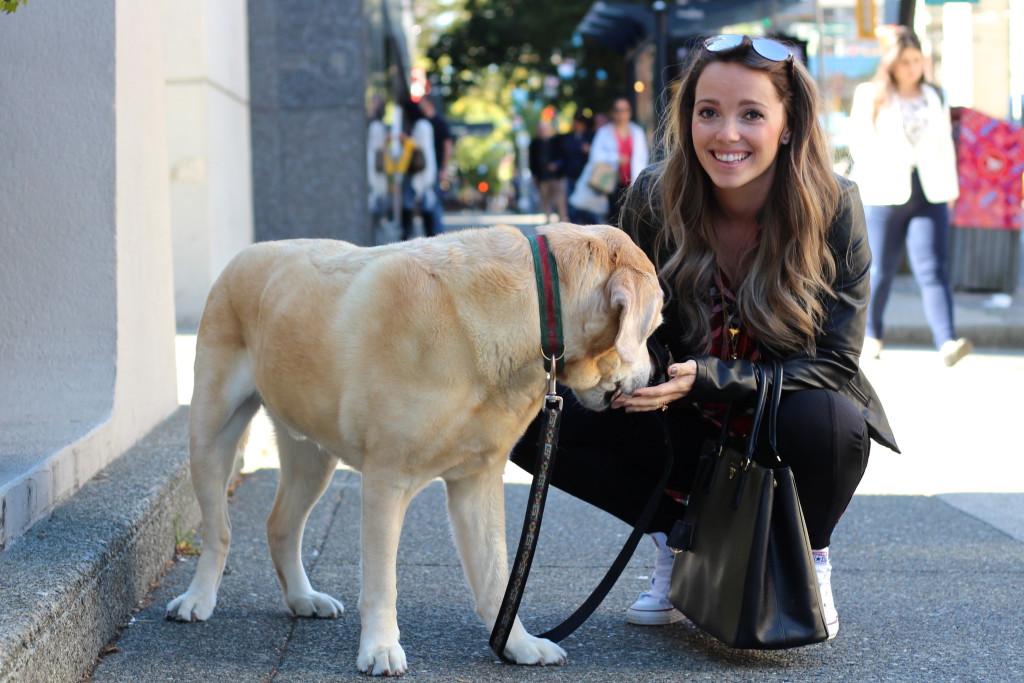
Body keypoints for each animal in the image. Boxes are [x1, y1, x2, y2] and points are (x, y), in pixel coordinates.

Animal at [167, 223, 663, 671]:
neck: (532, 315)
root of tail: (248, 251)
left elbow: (497, 576)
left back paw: (302, 597)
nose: (653, 378)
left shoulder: (478, 481)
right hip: (209, 435)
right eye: (655, 326)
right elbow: (382, 582)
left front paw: (515, 643)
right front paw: (380, 648)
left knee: (280, 525)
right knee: (219, 530)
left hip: (312, 457)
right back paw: (198, 596)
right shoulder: (385, 481)